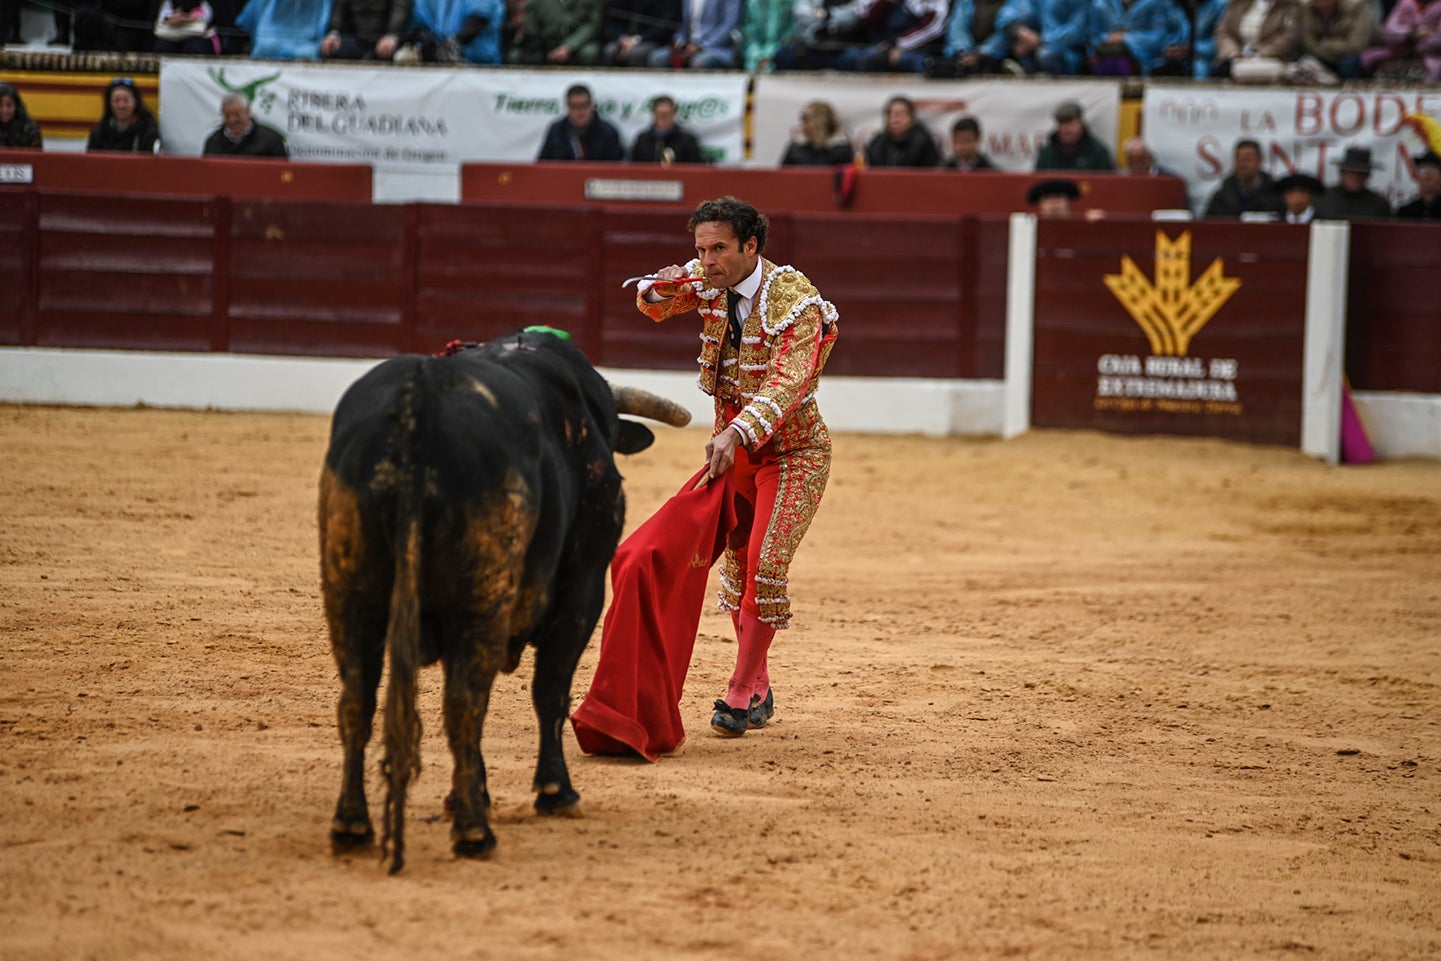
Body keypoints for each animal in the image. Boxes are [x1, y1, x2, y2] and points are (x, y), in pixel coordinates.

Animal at [321, 331, 691, 870]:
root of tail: (418, 401)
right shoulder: (583, 589)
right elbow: (550, 690)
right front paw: (555, 791)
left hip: (349, 591)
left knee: (357, 700)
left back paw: (352, 826)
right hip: (481, 597)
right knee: (464, 703)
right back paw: (474, 832)